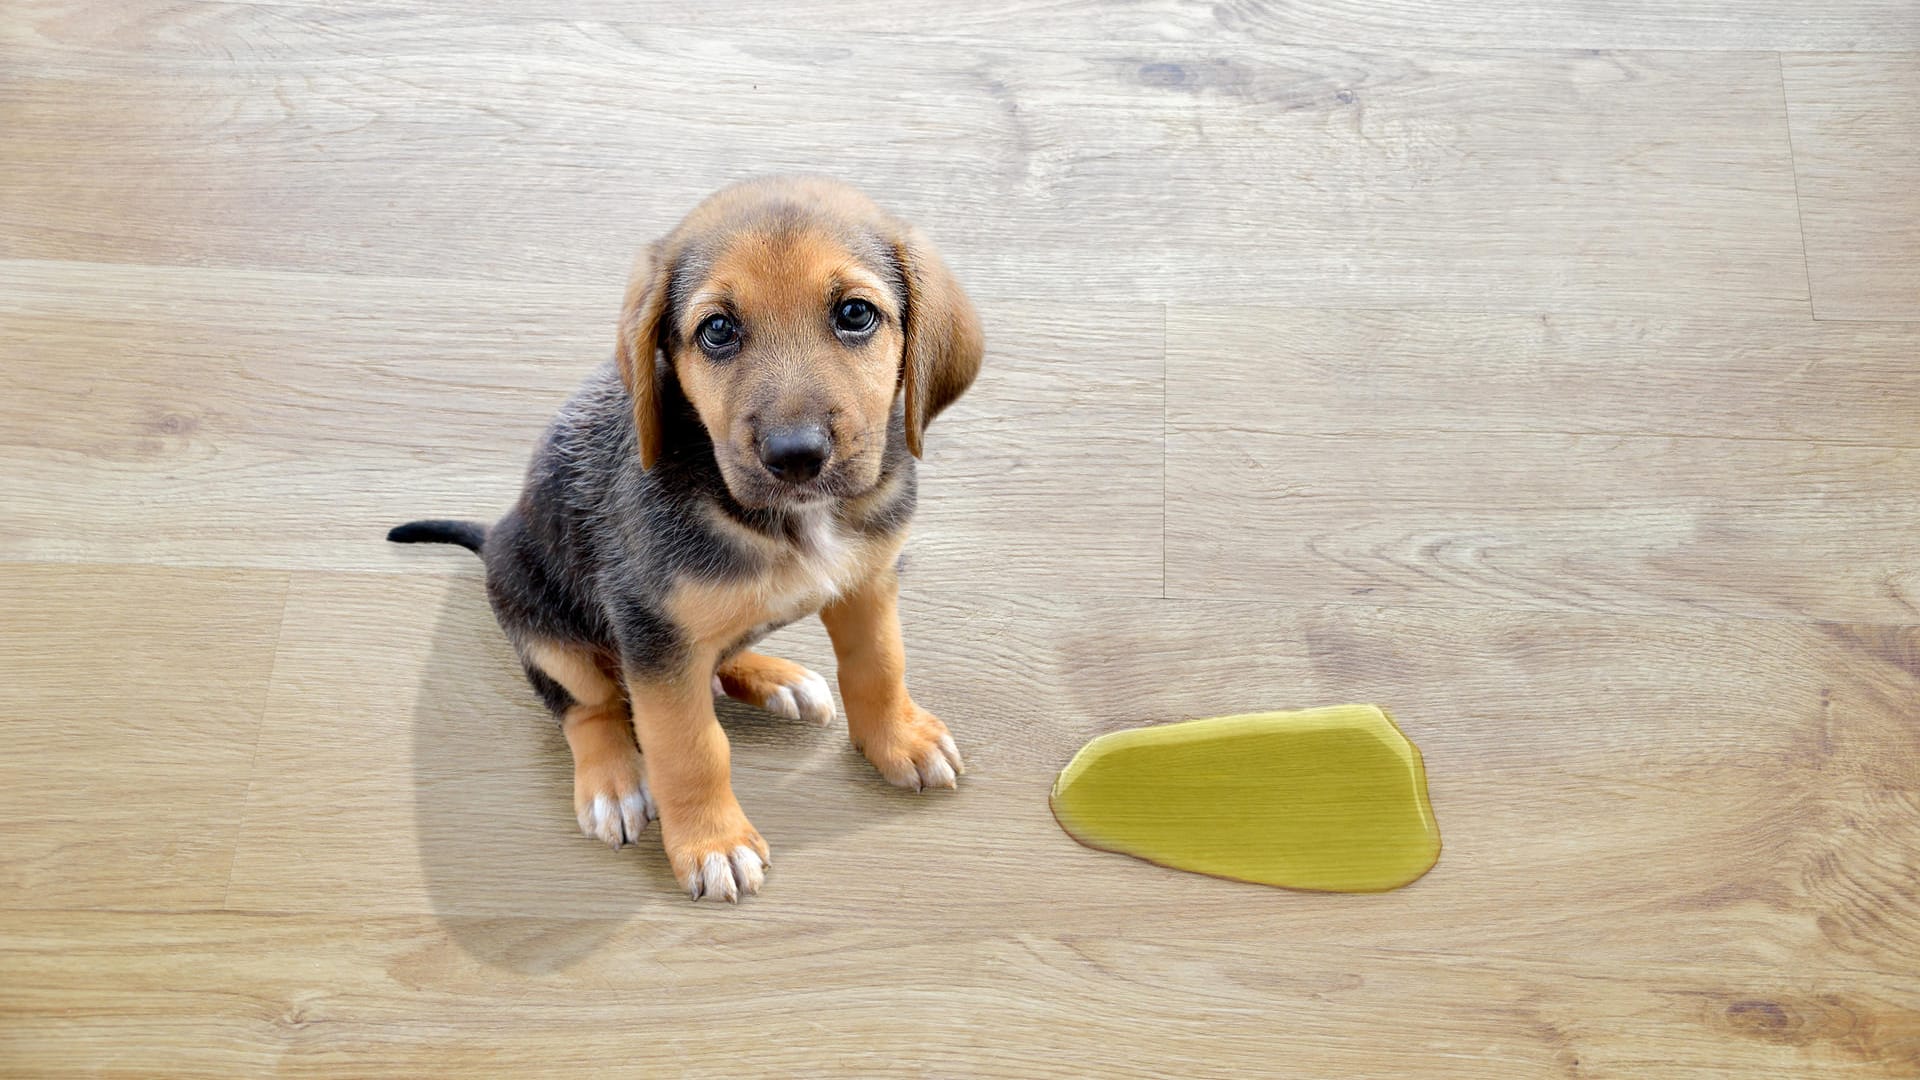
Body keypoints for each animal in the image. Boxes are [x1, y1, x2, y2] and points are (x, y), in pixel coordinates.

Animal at [393, 176, 990, 899]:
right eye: (718, 330)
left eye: (855, 314)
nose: (796, 457)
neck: (792, 521)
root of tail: (494, 534)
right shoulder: (652, 630)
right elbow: (690, 748)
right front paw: (712, 842)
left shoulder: (868, 582)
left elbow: (879, 666)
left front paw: (897, 739)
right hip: (540, 618)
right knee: (587, 705)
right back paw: (614, 781)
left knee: (716, 655)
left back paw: (776, 677)